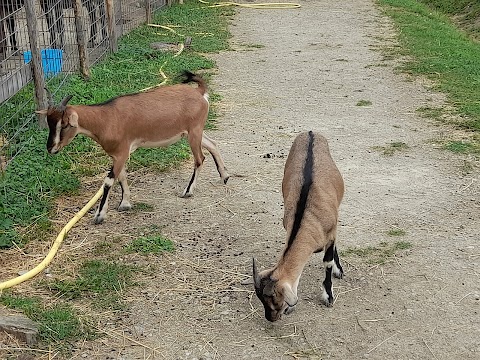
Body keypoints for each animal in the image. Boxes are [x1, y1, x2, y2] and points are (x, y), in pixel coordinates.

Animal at [38, 71, 230, 224]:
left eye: (64, 125)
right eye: (49, 122)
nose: (51, 148)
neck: (106, 119)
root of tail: (199, 92)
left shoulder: (122, 153)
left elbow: (108, 181)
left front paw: (99, 215)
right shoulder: (118, 155)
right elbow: (122, 176)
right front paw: (125, 204)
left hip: (194, 131)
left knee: (200, 158)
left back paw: (188, 191)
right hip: (192, 132)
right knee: (213, 144)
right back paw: (225, 176)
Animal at [253, 131, 344, 322]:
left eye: (275, 300)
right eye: (261, 300)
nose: (270, 318)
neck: (307, 216)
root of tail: (310, 132)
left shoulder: (331, 231)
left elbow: (328, 261)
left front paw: (328, 295)